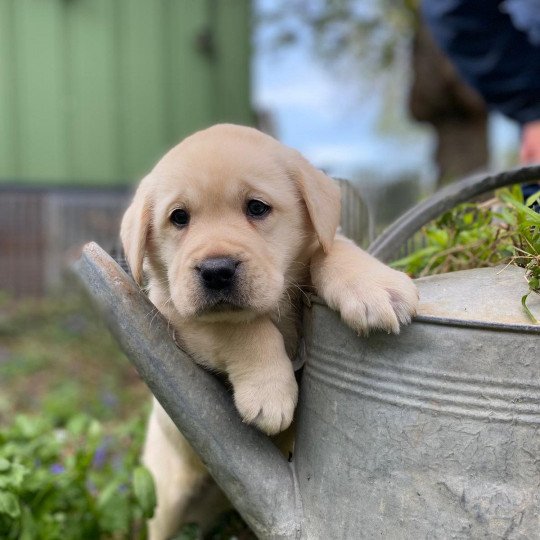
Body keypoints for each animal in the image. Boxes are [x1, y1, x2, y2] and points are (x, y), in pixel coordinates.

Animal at [121, 123, 418, 536]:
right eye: (178, 217)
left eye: (257, 208)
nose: (216, 271)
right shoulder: (172, 309)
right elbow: (245, 326)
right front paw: (269, 393)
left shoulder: (317, 248)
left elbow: (332, 248)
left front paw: (374, 285)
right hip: (167, 498)